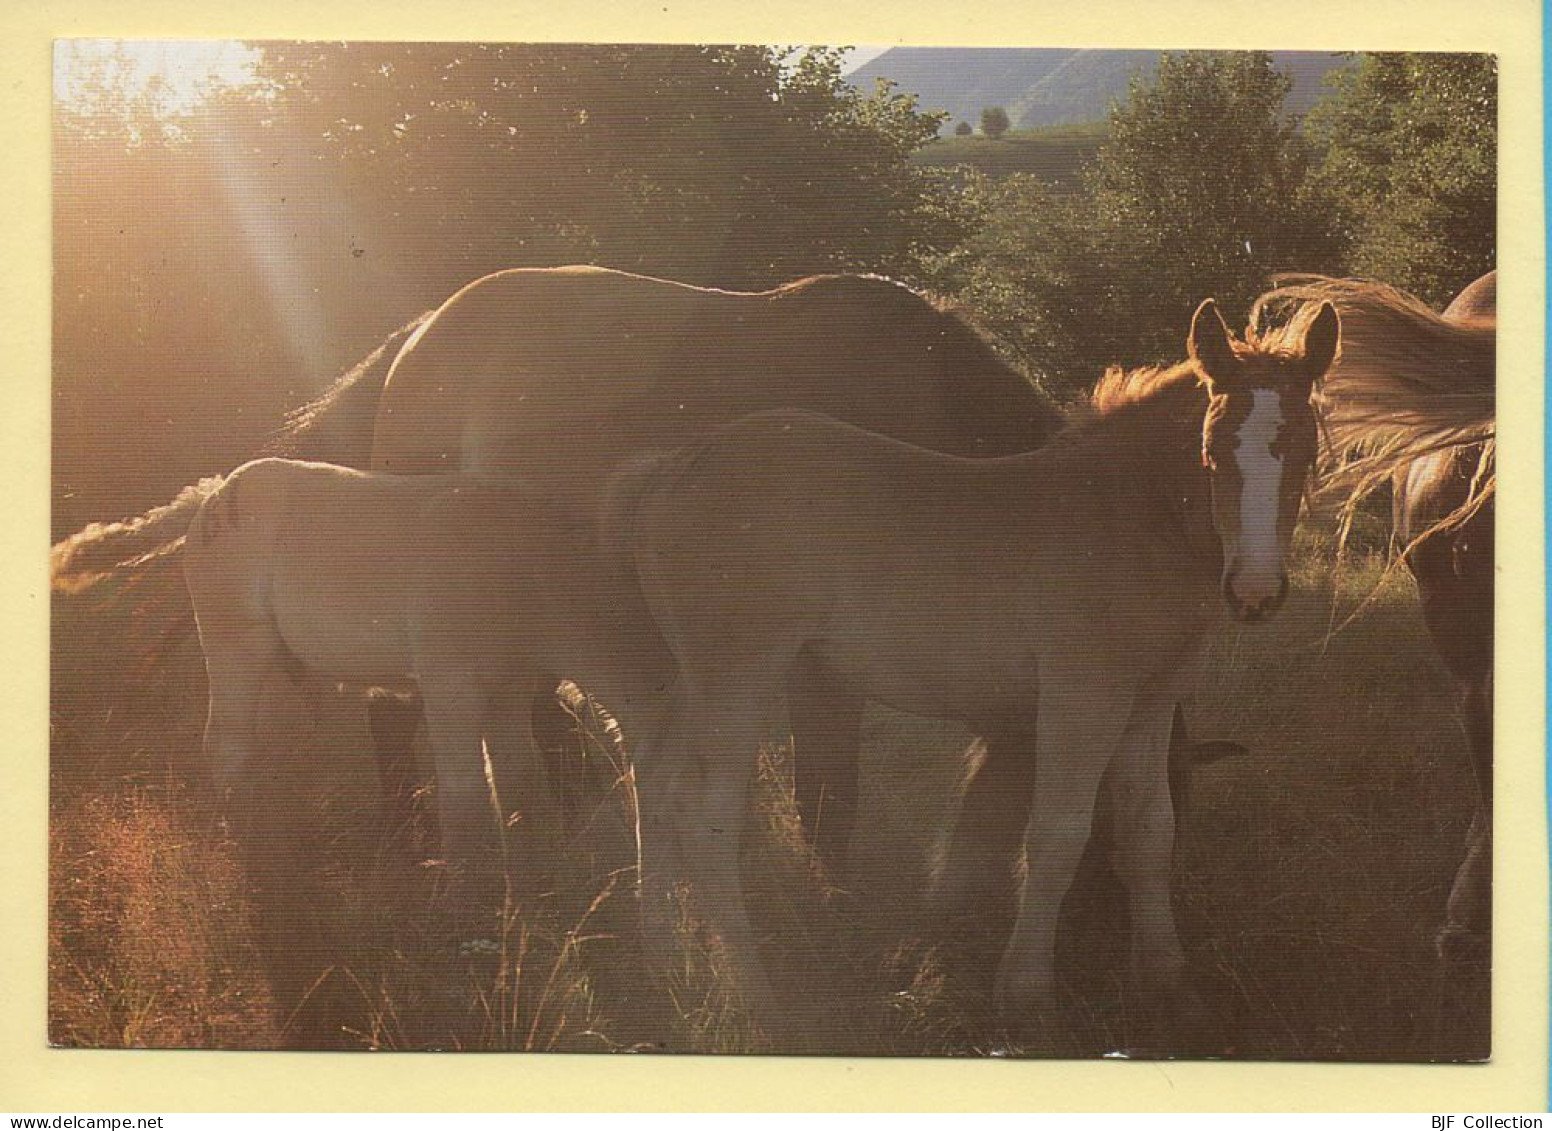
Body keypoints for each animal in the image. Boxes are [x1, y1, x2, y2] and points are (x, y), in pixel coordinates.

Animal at [177, 453, 673, 868]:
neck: (524, 574)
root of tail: (217, 495)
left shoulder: (509, 692)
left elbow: (516, 784)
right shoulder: (449, 691)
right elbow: (464, 798)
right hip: (238, 650)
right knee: (228, 748)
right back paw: (254, 854)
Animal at [611, 293, 1340, 1030]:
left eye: (1307, 451)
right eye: (1214, 450)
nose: (1254, 590)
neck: (1125, 520)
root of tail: (674, 465)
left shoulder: (1150, 705)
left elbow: (1147, 833)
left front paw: (1168, 981)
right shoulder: (1082, 701)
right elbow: (1055, 836)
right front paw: (1025, 993)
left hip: (689, 679)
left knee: (655, 782)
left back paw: (665, 962)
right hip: (739, 676)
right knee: (705, 811)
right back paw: (754, 992)